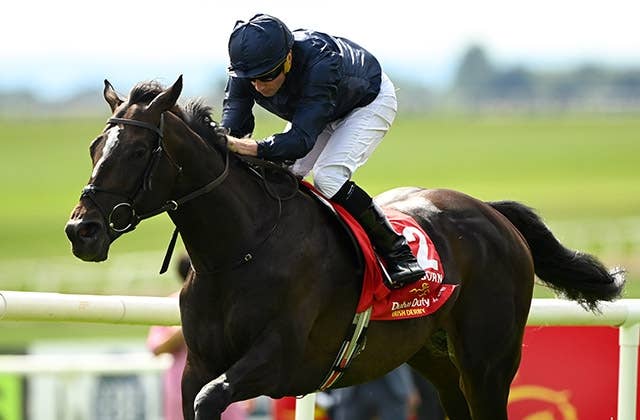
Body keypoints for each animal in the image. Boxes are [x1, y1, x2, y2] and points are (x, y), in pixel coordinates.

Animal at [64, 76, 624, 420]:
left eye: (139, 149)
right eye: (94, 147)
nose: (81, 230)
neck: (239, 251)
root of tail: (491, 213)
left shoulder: (277, 358)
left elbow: (212, 399)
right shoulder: (197, 364)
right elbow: (198, 398)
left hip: (489, 361)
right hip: (436, 360)